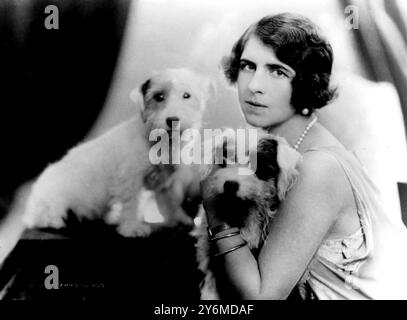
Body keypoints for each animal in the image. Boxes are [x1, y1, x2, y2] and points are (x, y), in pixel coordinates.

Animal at [23, 68, 214, 238]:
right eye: (158, 96)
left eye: (187, 95)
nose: (172, 120)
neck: (159, 140)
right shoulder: (130, 180)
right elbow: (131, 204)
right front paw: (132, 228)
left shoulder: (167, 179)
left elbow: (172, 200)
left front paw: (179, 219)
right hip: (51, 202)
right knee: (43, 217)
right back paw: (55, 220)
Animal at [192, 131, 302, 300]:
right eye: (224, 160)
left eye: (259, 168)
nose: (230, 184)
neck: (240, 211)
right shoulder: (210, 254)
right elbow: (211, 277)